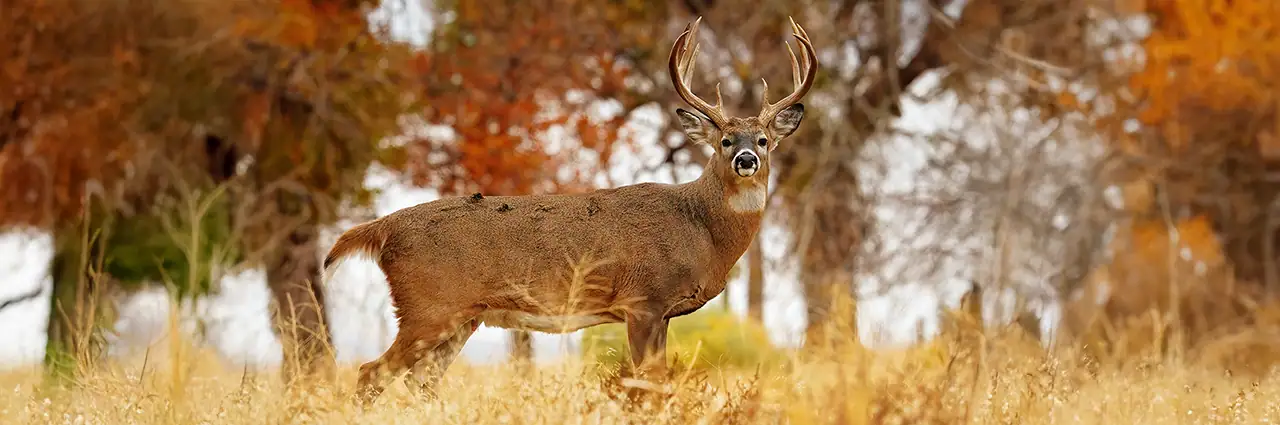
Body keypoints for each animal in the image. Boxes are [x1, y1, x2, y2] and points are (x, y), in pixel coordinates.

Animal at [323, 16, 817, 404]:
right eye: (725, 141)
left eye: (764, 140)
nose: (746, 160)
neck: (701, 229)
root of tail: (383, 227)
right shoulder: (643, 299)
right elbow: (649, 385)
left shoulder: (659, 312)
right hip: (428, 306)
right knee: (371, 374)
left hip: (461, 318)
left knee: (419, 383)